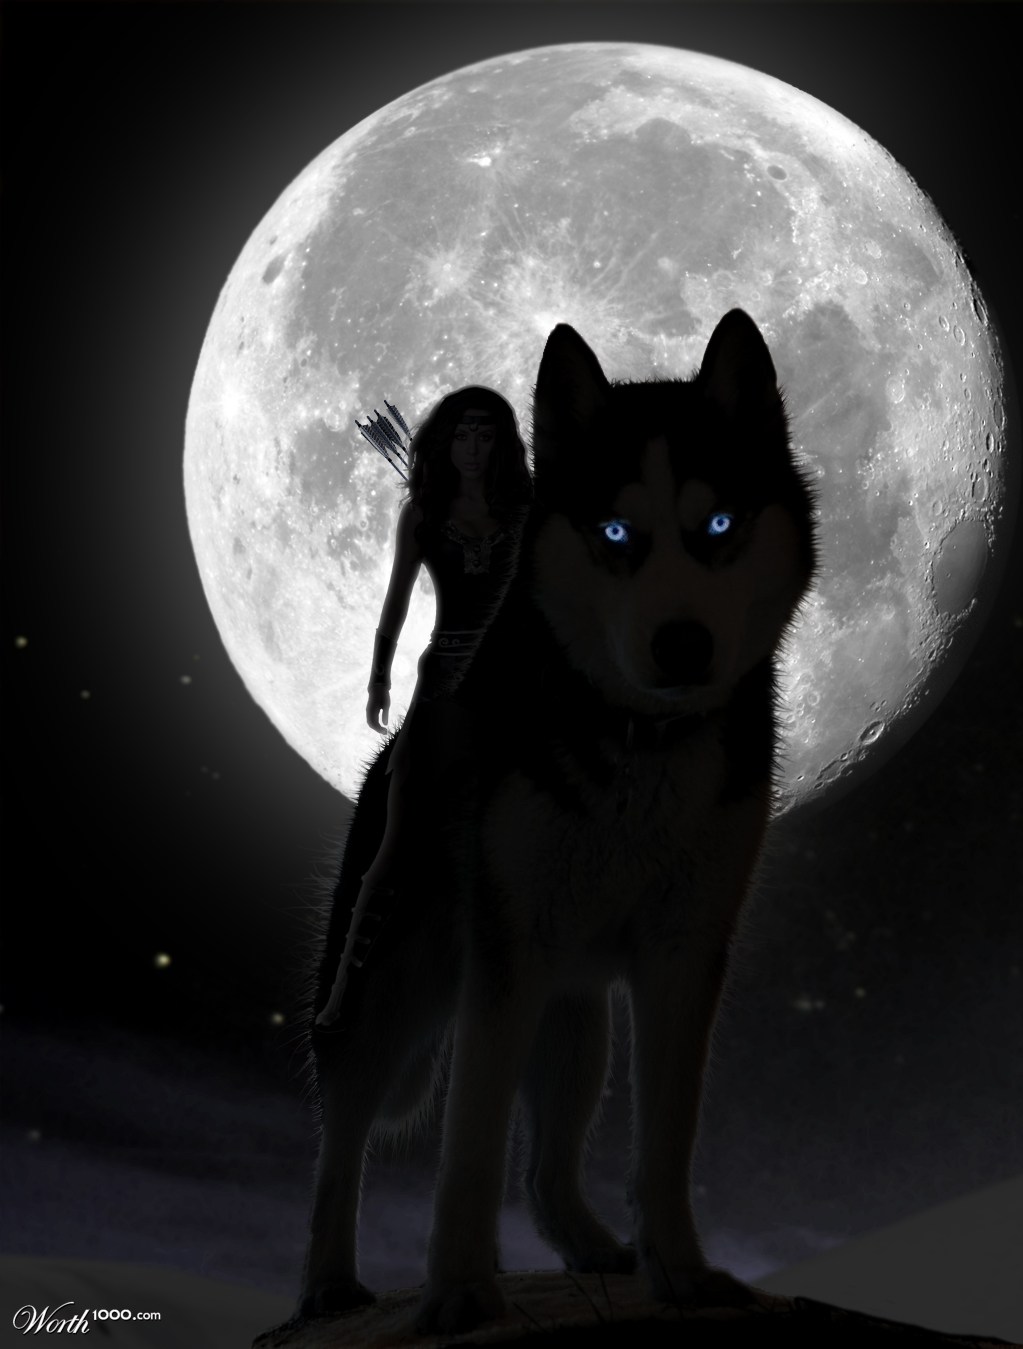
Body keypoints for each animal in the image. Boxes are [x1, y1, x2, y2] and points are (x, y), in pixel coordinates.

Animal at [298, 310, 816, 1336]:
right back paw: (326, 1285)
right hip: (396, 989)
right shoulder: (504, 959)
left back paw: (589, 1246)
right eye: (616, 530)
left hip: (578, 1021)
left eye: (718, 525)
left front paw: (679, 1273)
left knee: (545, 1164)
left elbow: (663, 1139)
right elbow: (469, 1140)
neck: (639, 748)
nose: (682, 644)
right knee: (343, 1139)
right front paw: (460, 1290)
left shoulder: (682, 954)